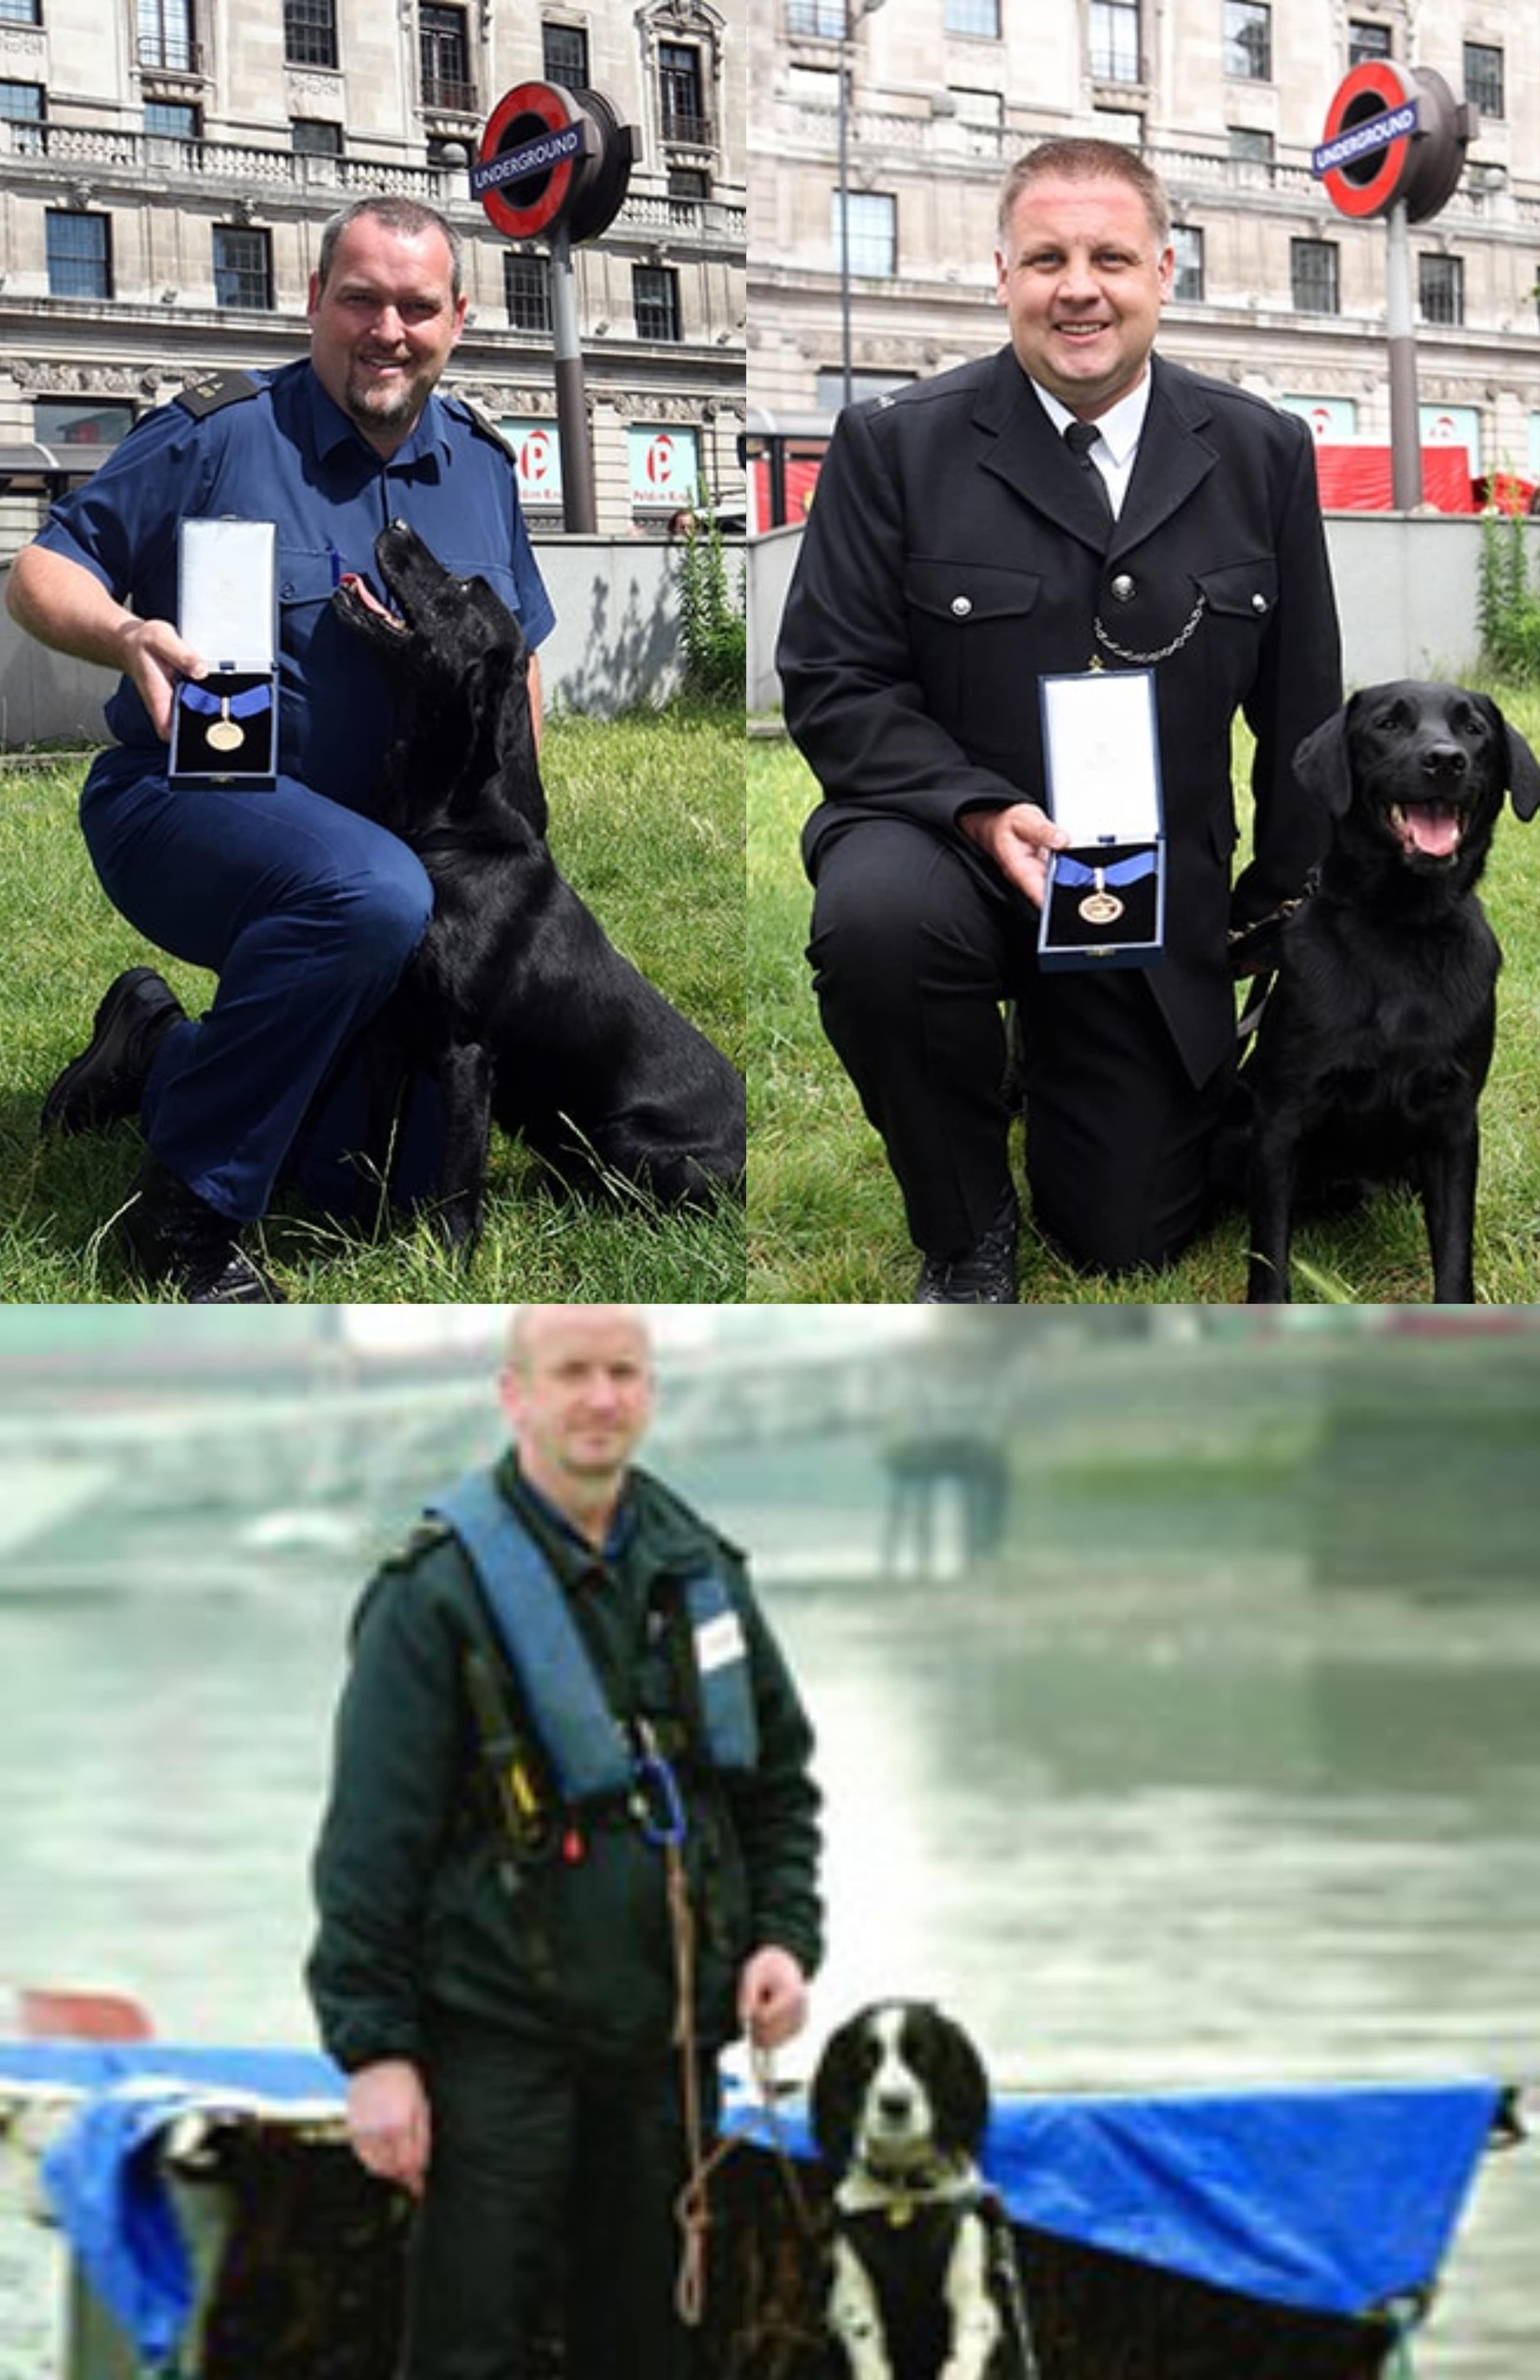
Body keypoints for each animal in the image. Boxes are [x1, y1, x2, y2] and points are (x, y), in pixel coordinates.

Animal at [333, 516, 752, 1247]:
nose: (398, 524)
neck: (447, 835)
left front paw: (449, 1262)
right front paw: (359, 1243)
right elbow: (372, 1152)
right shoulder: (388, 1037)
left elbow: (456, 1183)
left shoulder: (467, 1053)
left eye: (464, 588)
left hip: (626, 1140)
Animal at [1238, 676, 1540, 1304]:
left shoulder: (1455, 1123)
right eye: (1387, 725)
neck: (1401, 926)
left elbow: (1454, 1250)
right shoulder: (1280, 1119)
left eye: (1472, 728)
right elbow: (1269, 1253)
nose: (1445, 761)